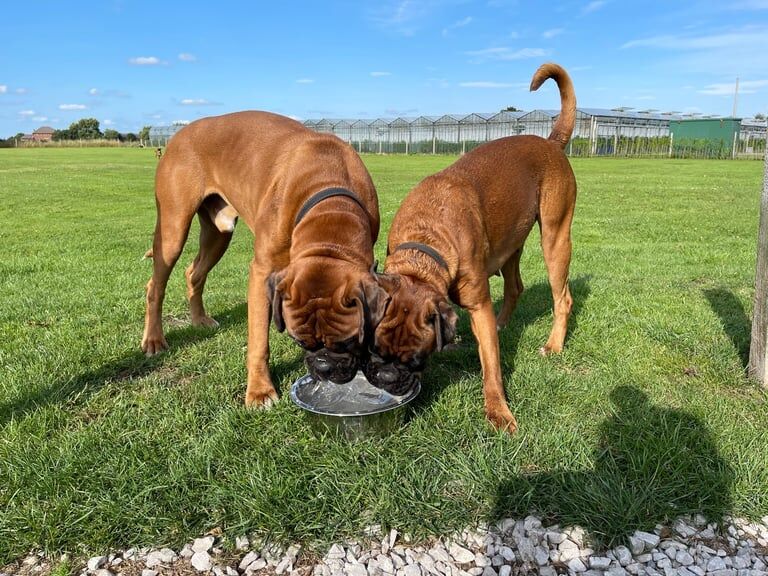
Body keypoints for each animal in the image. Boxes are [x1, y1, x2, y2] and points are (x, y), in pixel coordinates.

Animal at [141, 111, 388, 404]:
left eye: (348, 341)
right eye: (300, 341)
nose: (324, 367)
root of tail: (179, 134)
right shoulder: (262, 272)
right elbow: (259, 342)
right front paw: (260, 391)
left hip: (218, 235)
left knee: (194, 272)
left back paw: (200, 320)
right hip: (173, 229)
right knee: (156, 285)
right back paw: (154, 340)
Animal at [366, 63, 576, 432]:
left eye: (416, 359)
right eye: (376, 349)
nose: (388, 377)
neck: (426, 243)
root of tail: (551, 143)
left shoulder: (478, 304)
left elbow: (491, 367)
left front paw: (498, 411)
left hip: (555, 239)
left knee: (562, 297)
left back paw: (553, 344)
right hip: (510, 245)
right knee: (515, 287)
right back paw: (503, 324)